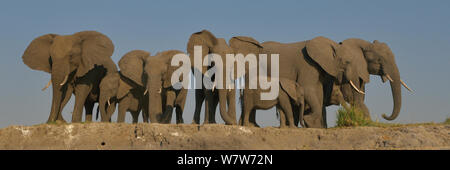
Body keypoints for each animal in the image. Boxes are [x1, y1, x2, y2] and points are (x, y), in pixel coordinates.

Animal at [230, 36, 364, 128]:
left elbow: (318, 91)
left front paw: (315, 126)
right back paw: (252, 126)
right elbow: (309, 89)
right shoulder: (307, 64)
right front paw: (310, 123)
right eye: (347, 62)